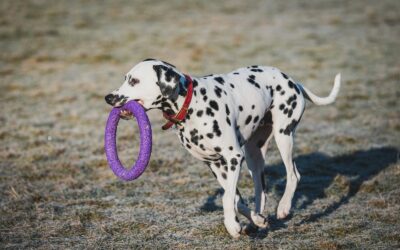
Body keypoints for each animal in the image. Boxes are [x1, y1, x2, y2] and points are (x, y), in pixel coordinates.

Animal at [104, 58, 340, 236]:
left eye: (134, 80)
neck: (192, 104)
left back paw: (283, 207)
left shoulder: (233, 157)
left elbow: (227, 197)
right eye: (126, 78)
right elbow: (234, 197)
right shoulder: (215, 164)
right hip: (253, 154)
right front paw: (252, 220)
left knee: (293, 175)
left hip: (284, 137)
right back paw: (258, 218)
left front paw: (232, 227)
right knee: (261, 190)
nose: (108, 97)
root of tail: (293, 81)